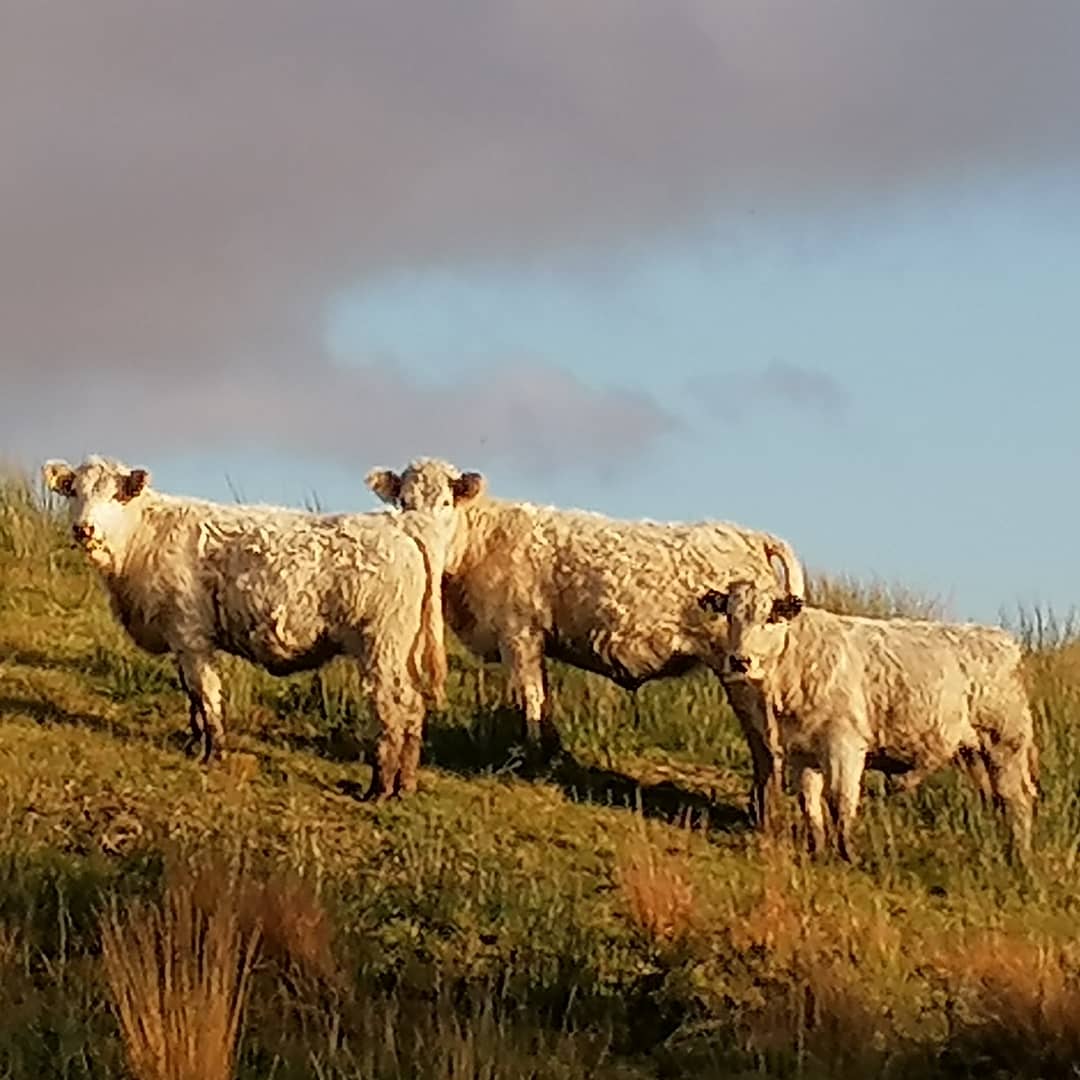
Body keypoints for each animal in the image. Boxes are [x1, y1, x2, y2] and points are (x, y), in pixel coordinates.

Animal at [42, 455, 453, 803]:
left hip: (381, 646)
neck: (143, 539)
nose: (83, 528)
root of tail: (401, 526)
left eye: (114, 494)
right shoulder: (180, 638)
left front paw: (213, 753)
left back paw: (379, 788)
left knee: (392, 711)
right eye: (74, 492)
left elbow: (206, 695)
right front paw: (192, 745)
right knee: (414, 708)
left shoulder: (190, 633)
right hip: (402, 650)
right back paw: (404, 786)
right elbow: (192, 696)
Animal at [367, 455, 807, 825]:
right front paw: (550, 754)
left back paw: (765, 814)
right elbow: (542, 699)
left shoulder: (519, 633)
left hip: (745, 669)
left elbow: (529, 698)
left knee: (766, 741)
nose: (419, 529)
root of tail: (750, 535)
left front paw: (530, 760)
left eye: (445, 502)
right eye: (403, 501)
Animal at [699, 570, 1036, 864]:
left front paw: (848, 855)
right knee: (995, 799)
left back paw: (1019, 859)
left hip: (1005, 745)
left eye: (770, 617)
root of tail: (1001, 639)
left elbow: (841, 800)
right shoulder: (801, 753)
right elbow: (810, 804)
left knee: (1016, 800)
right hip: (974, 753)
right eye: (730, 615)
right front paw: (817, 851)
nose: (740, 661)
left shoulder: (844, 745)